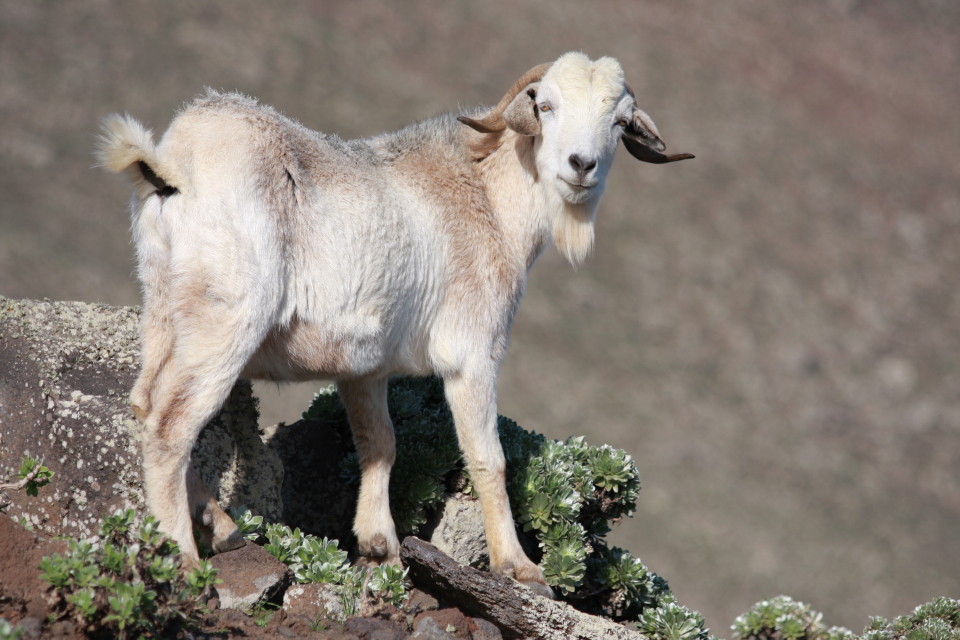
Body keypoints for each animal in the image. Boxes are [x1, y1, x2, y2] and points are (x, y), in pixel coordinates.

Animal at [97, 51, 693, 597]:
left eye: (619, 121)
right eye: (545, 105)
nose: (580, 165)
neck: (487, 198)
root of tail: (172, 169)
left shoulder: (365, 368)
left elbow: (379, 442)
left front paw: (377, 544)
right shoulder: (473, 356)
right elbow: (488, 460)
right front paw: (520, 569)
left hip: (163, 312)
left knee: (144, 405)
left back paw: (222, 528)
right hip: (224, 326)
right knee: (171, 426)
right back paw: (185, 560)